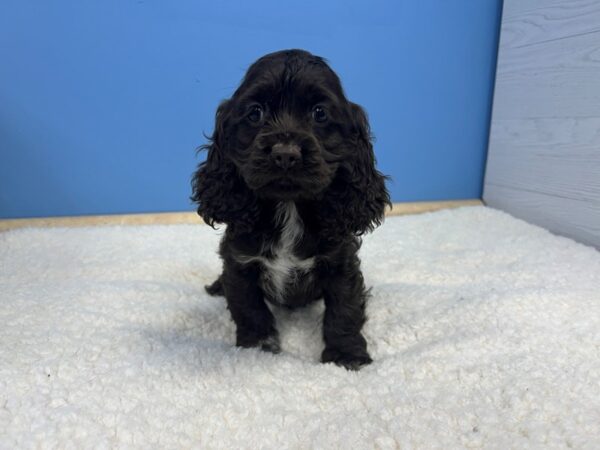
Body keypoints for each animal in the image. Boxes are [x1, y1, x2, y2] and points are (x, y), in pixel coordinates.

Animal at [191, 49, 390, 370]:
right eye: (255, 112)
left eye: (320, 113)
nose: (285, 154)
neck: (289, 208)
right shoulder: (240, 262)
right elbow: (248, 307)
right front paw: (258, 346)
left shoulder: (341, 262)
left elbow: (344, 311)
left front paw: (346, 356)